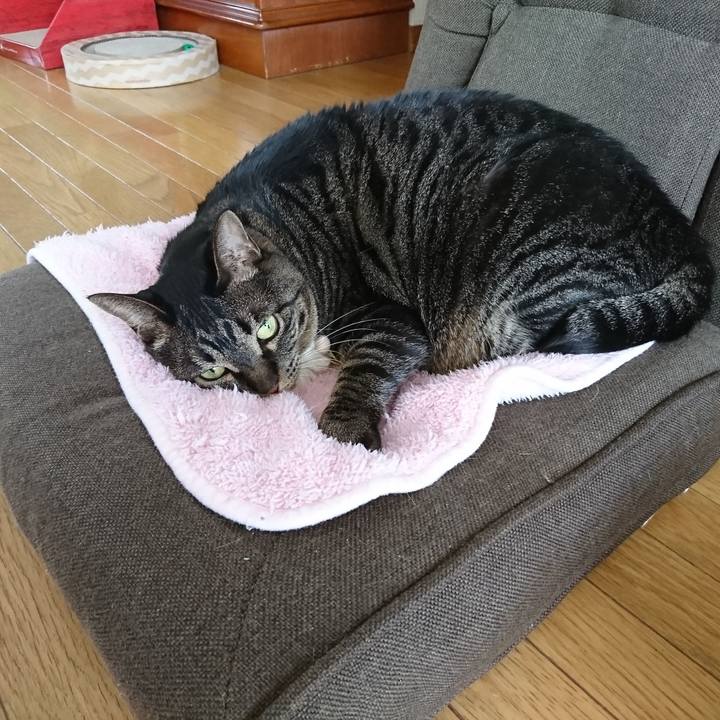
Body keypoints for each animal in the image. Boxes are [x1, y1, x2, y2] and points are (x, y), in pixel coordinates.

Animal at [89, 89, 714, 450]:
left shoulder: (390, 320)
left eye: (266, 327)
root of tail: (682, 230)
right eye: (213, 373)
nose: (269, 389)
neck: (285, 221)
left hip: (520, 287)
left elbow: (363, 374)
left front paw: (343, 439)